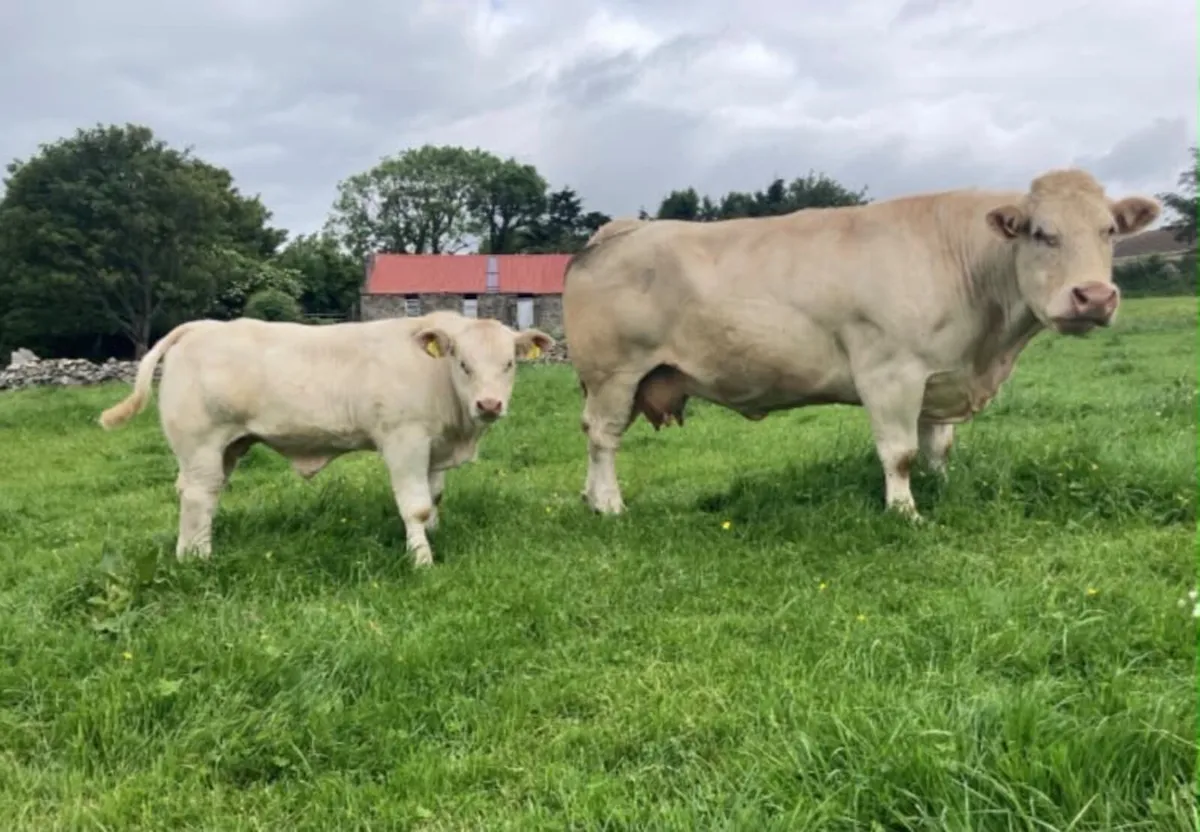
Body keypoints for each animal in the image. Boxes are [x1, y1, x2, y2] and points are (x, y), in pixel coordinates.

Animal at [97, 311, 554, 566]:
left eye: (510, 363)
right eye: (463, 363)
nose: (489, 404)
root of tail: (200, 327)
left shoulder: (434, 448)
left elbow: (434, 497)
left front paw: (432, 536)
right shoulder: (404, 440)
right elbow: (416, 505)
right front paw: (422, 559)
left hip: (227, 447)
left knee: (202, 496)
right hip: (201, 443)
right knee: (198, 495)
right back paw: (196, 559)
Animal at [562, 168, 1160, 521]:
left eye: (1109, 230)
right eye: (1040, 233)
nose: (1094, 296)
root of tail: (617, 231)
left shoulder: (939, 378)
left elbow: (938, 448)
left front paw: (941, 489)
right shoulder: (891, 373)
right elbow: (899, 453)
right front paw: (905, 513)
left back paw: (591, 499)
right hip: (614, 374)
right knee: (602, 438)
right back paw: (609, 505)